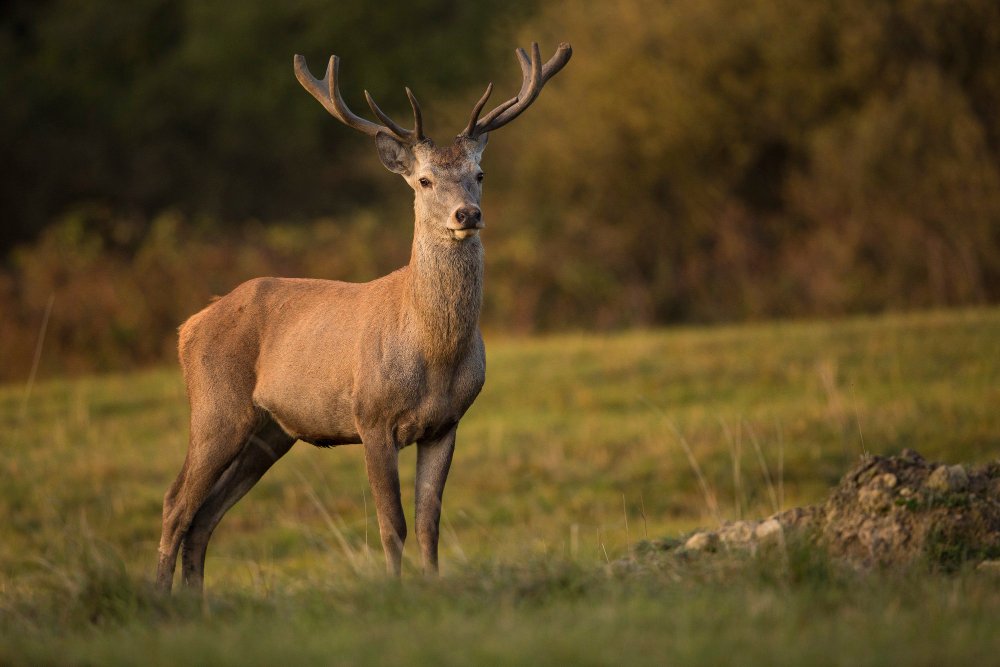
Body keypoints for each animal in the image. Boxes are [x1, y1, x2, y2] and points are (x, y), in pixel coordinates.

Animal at [155, 42, 572, 593]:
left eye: (479, 175)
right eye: (424, 180)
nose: (467, 214)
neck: (434, 354)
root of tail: (188, 326)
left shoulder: (446, 423)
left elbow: (429, 521)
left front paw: (432, 585)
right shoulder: (371, 416)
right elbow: (391, 522)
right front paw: (394, 589)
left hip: (270, 431)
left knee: (205, 516)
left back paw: (194, 600)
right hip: (215, 407)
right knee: (176, 502)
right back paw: (159, 596)